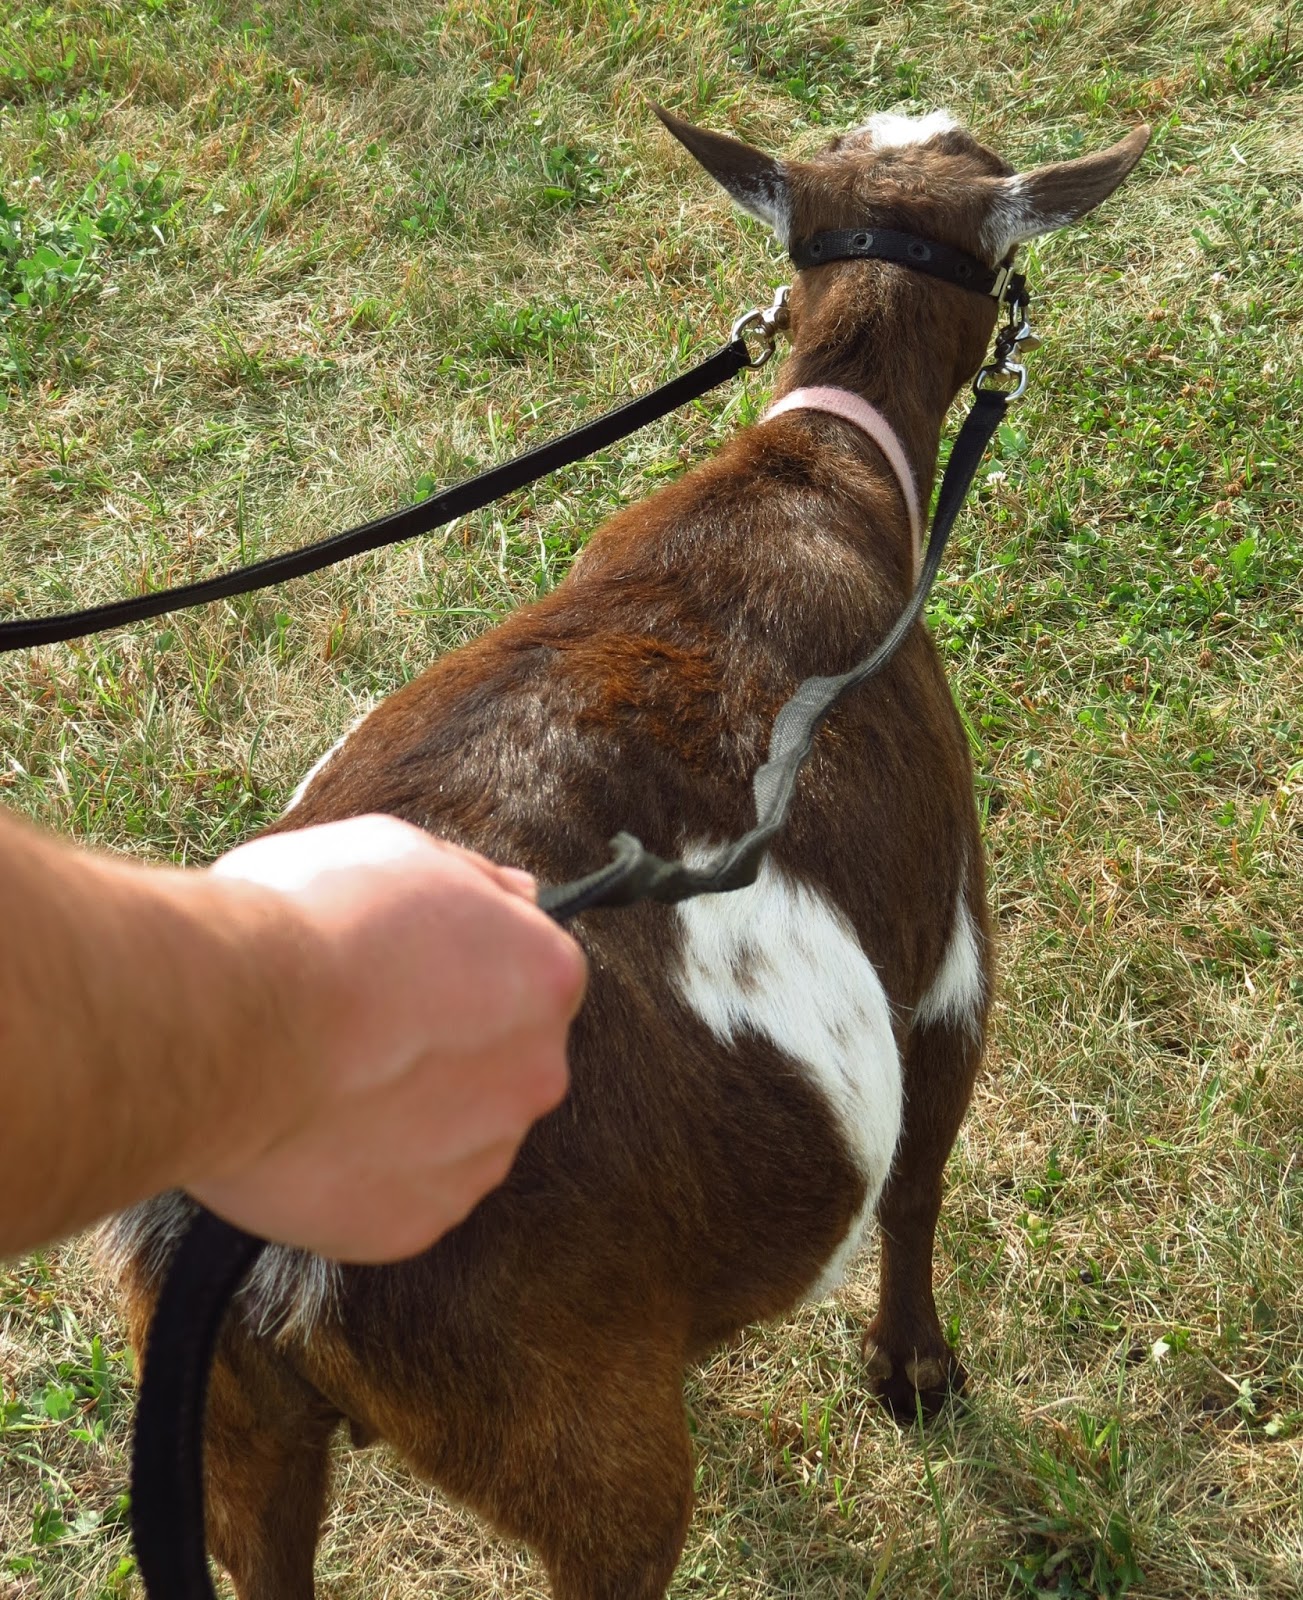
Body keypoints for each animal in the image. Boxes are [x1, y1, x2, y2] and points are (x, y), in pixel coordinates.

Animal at [104, 107, 1148, 1599]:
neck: (818, 472)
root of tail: (257, 1223)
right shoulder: (946, 944)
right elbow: (918, 1181)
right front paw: (915, 1379)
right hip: (573, 1437)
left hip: (233, 1430)